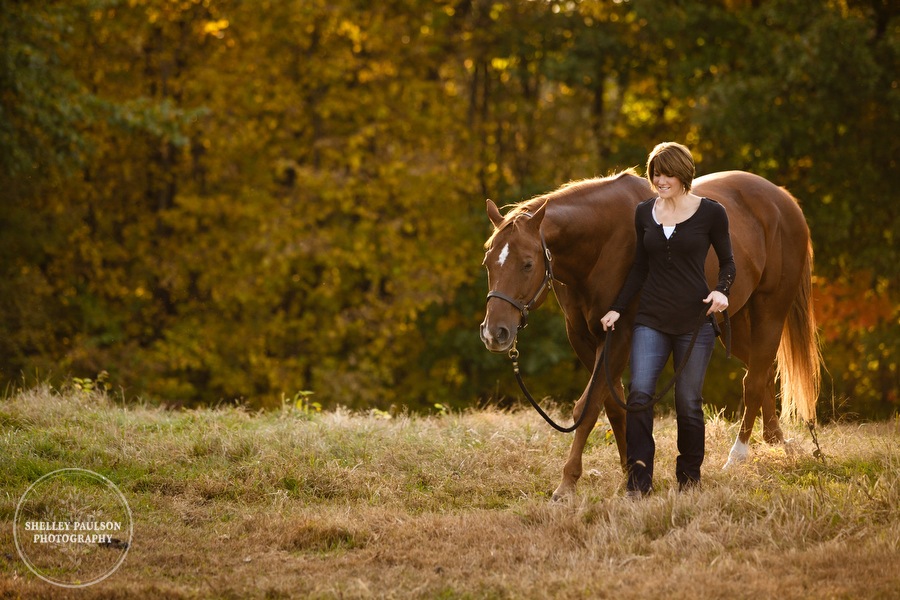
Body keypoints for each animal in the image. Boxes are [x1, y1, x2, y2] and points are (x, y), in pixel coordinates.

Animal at [482, 170, 820, 502]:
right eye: (488, 262)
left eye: (527, 263)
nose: (495, 333)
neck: (600, 242)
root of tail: (782, 199)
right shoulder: (583, 340)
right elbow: (613, 405)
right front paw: (630, 471)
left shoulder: (620, 335)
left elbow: (588, 407)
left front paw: (567, 485)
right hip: (730, 323)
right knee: (761, 371)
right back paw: (778, 444)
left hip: (769, 311)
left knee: (754, 380)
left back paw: (737, 457)